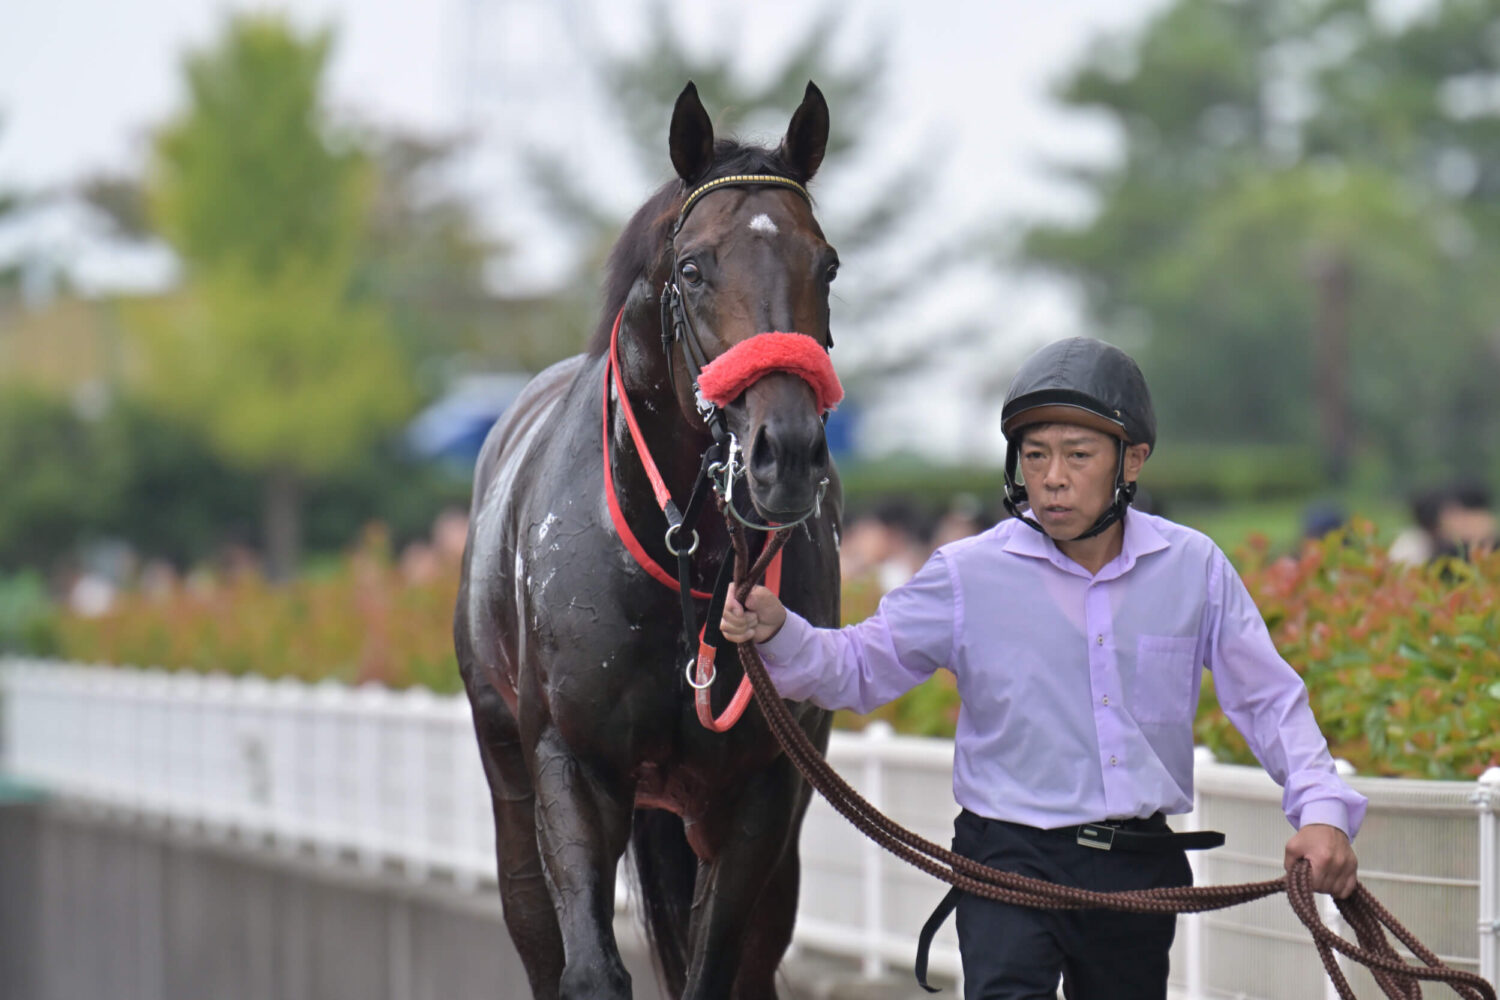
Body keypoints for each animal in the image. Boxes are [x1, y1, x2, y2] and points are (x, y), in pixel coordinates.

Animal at [453, 80, 846, 1000]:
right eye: (694, 268)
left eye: (828, 265)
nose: (787, 453)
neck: (683, 554)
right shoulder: (571, 761)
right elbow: (589, 969)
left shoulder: (763, 792)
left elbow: (715, 969)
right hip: (505, 760)